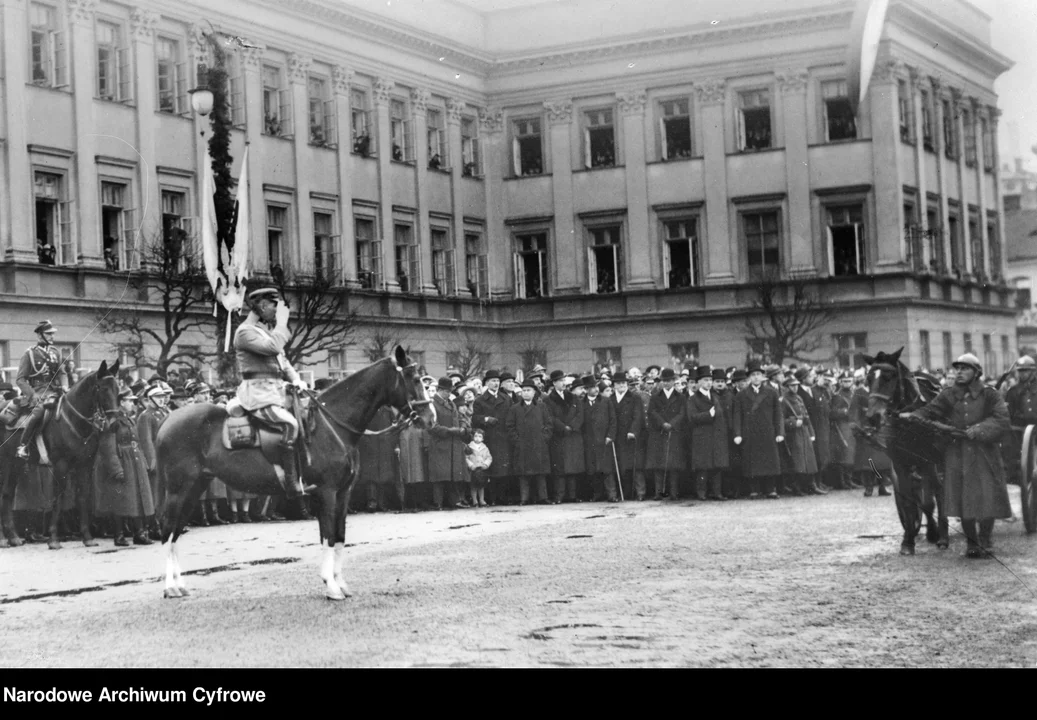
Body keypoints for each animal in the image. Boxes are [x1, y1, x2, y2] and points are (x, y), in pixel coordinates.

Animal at [153, 346, 433, 601]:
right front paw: (331, 586)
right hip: (179, 489)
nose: (430, 418)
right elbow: (328, 536)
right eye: (414, 378)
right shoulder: (326, 492)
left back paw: (179, 584)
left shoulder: (344, 493)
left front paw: (340, 583)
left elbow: (339, 536)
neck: (332, 425)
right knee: (167, 529)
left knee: (176, 531)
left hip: (195, 488)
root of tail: (168, 419)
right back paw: (169, 587)